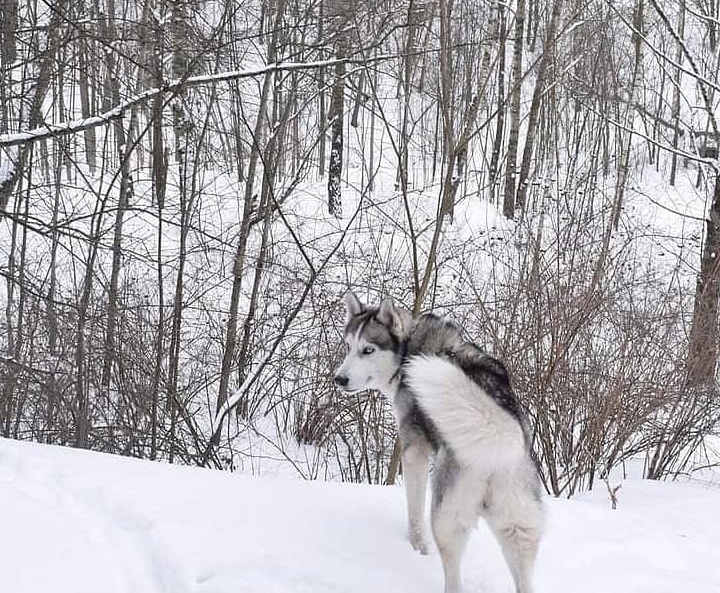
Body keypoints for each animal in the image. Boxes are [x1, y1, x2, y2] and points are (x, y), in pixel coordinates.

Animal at [334, 292, 544, 592]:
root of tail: (498, 439)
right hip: (518, 526)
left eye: (368, 350)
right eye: (349, 346)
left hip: (446, 518)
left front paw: (416, 547)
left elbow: (414, 512)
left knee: (453, 574)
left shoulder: (414, 451)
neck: (408, 348)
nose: (339, 379)